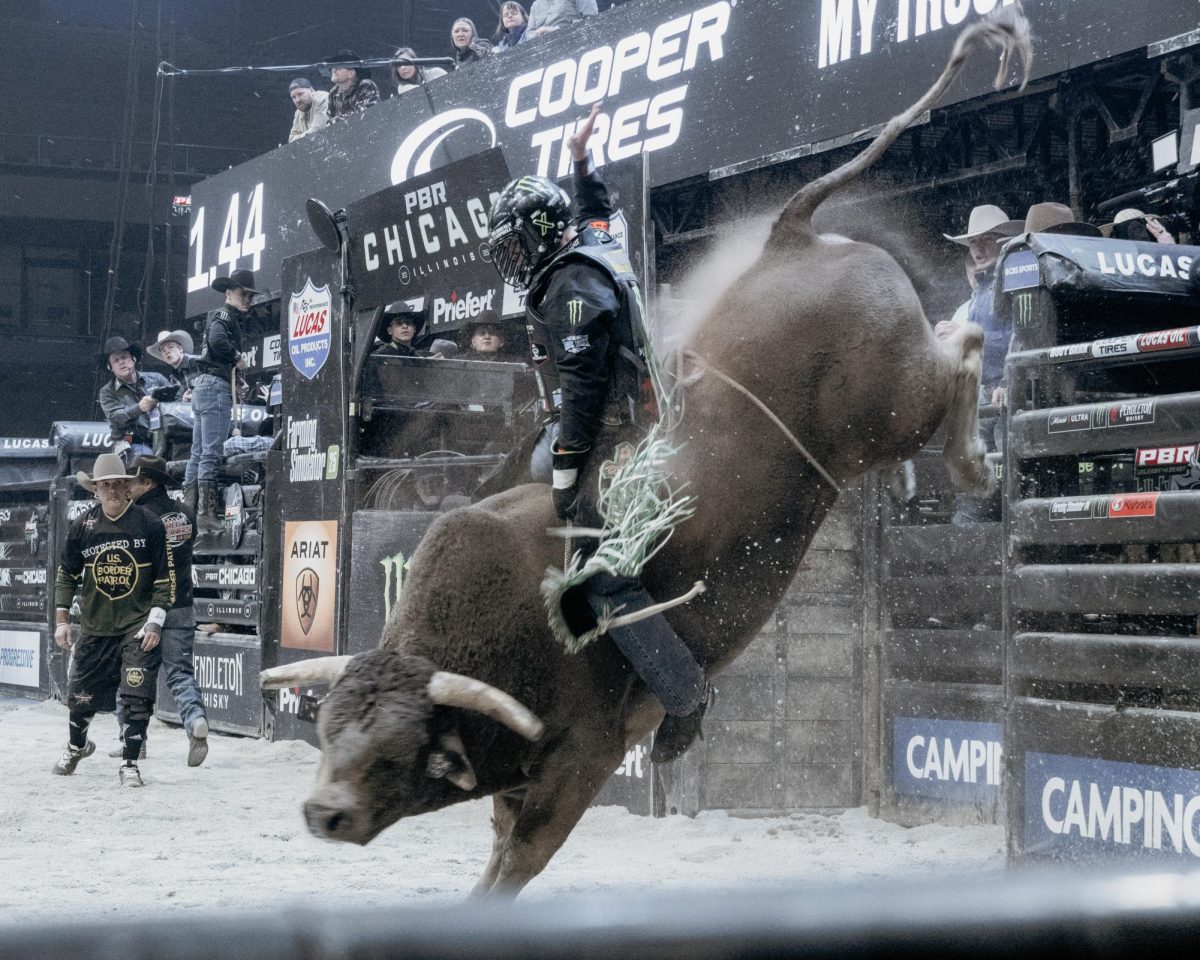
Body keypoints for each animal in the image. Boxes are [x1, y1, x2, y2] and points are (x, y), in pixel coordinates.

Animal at [262, 9, 1032, 902]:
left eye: (390, 752)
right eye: (325, 731)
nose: (323, 812)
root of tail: (790, 239)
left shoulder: (580, 759)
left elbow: (516, 864)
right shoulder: (516, 778)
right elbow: (497, 852)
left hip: (887, 406)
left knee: (964, 348)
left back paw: (974, 462)